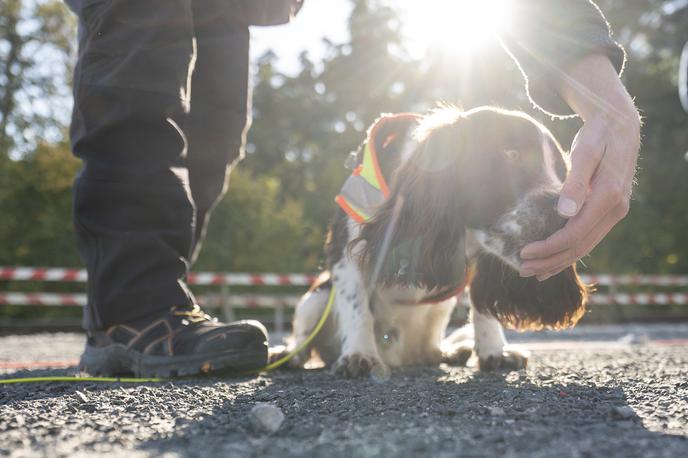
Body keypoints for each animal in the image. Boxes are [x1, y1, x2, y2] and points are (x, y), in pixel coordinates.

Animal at [282, 107, 588, 380]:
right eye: (511, 154)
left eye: (563, 173)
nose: (566, 213)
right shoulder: (345, 250)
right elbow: (356, 305)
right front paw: (359, 353)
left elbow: (482, 305)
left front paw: (494, 350)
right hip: (317, 296)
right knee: (303, 337)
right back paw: (285, 355)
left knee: (431, 349)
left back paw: (451, 352)